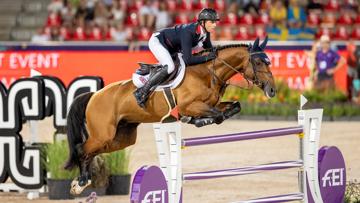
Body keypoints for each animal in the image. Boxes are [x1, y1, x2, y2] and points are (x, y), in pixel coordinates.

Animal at [64, 36, 276, 195]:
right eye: (258, 61)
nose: (272, 90)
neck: (208, 72)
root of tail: (94, 95)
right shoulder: (189, 106)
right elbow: (216, 115)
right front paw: (199, 120)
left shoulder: (210, 104)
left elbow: (233, 107)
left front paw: (206, 119)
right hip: (103, 134)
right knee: (82, 148)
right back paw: (80, 183)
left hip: (121, 137)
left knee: (92, 151)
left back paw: (80, 182)